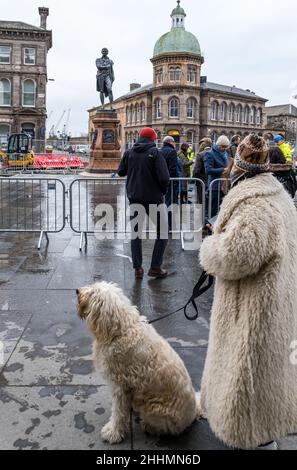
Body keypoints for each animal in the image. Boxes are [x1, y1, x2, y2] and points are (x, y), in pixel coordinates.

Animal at [77, 282, 201, 444]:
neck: (121, 330)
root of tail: (193, 412)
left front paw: (113, 432)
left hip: (154, 408)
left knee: (168, 428)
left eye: (93, 292)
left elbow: (118, 413)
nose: (77, 291)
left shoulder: (120, 386)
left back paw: (149, 426)